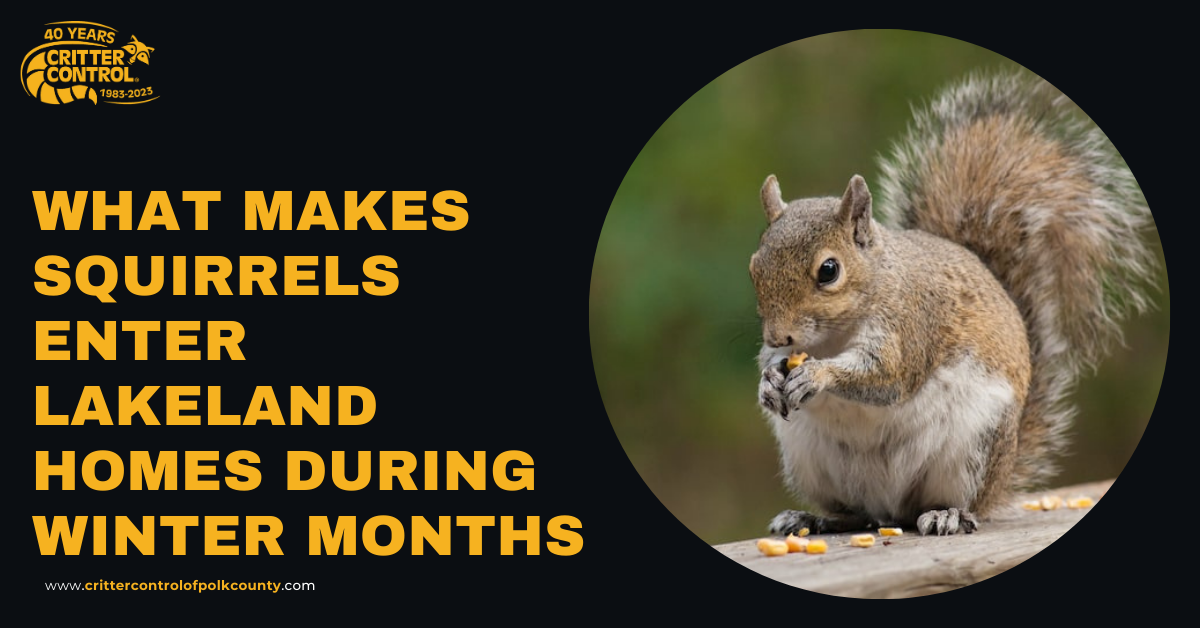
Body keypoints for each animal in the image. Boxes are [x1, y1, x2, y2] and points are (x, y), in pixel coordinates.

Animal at [750, 73, 1156, 536]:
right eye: (754, 265)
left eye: (829, 271)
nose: (777, 335)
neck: (835, 334)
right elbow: (777, 365)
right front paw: (768, 380)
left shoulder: (911, 325)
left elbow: (886, 376)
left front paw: (817, 375)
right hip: (810, 459)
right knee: (855, 513)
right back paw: (812, 518)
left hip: (974, 448)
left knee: (952, 502)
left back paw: (947, 513)